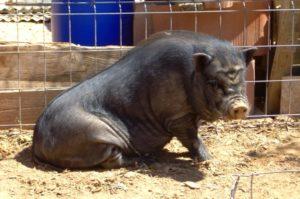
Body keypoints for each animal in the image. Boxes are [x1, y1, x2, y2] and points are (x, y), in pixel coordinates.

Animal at [33, 30, 258, 169]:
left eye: (243, 78)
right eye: (213, 82)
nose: (239, 106)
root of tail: (38, 142)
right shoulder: (176, 115)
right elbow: (192, 139)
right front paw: (209, 159)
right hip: (94, 133)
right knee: (111, 160)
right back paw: (144, 162)